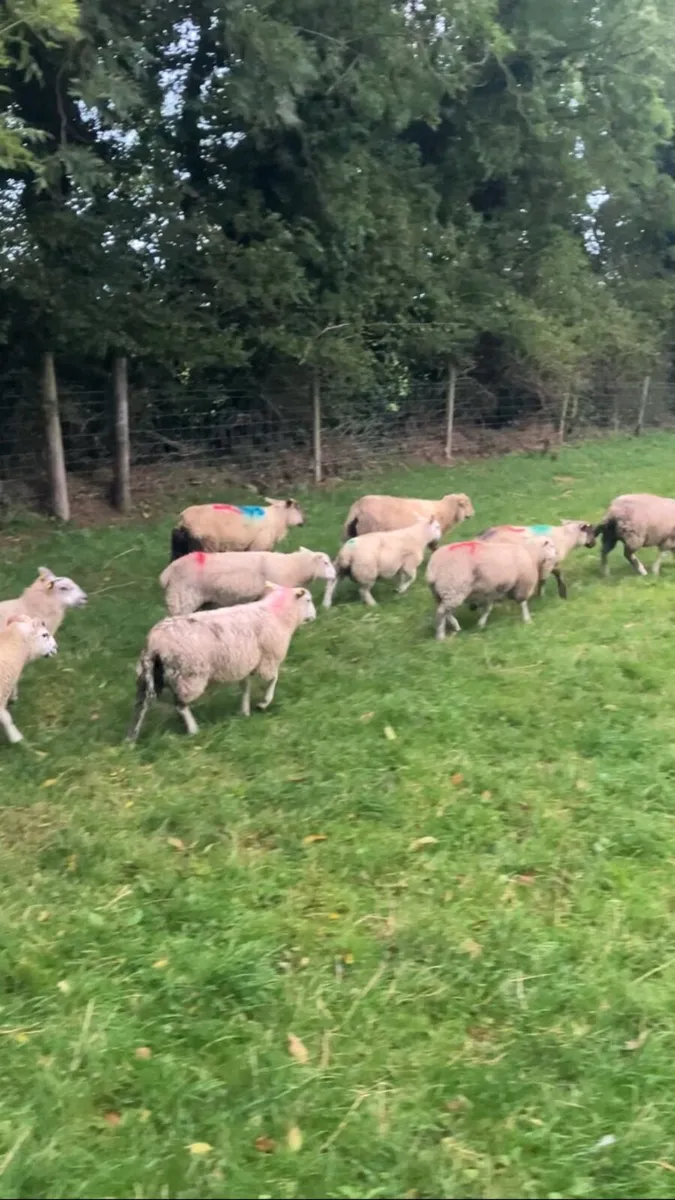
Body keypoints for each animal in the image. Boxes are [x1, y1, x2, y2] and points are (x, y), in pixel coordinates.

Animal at [127, 583, 316, 741]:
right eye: (308, 600)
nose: (314, 616)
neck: (278, 615)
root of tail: (154, 642)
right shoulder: (268, 660)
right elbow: (273, 679)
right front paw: (263, 704)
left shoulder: (246, 662)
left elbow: (245, 688)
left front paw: (245, 712)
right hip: (189, 674)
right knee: (180, 705)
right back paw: (193, 730)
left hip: (150, 674)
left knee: (141, 704)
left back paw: (131, 739)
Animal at [170, 497, 305, 560]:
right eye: (297, 508)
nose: (303, 523)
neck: (278, 518)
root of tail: (184, 519)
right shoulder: (259, 545)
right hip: (207, 544)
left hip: (181, 546)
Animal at [426, 536, 557, 639]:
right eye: (551, 546)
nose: (557, 554)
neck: (531, 553)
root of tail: (433, 568)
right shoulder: (522, 583)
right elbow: (523, 603)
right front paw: (527, 620)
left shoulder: (491, 590)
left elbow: (488, 608)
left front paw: (481, 623)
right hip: (454, 587)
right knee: (441, 612)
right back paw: (441, 636)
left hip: (443, 592)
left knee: (444, 611)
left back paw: (455, 626)